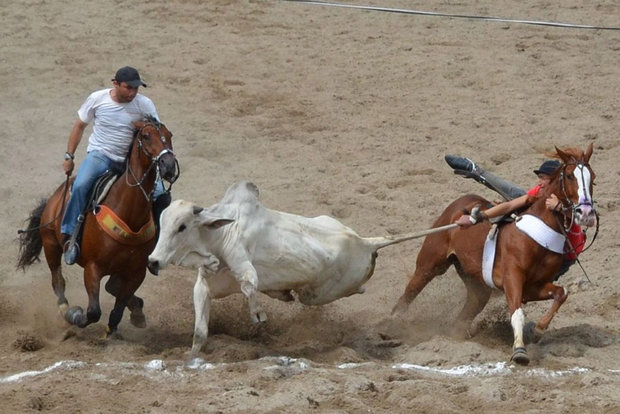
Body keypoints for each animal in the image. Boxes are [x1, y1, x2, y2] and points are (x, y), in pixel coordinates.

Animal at [17, 115, 177, 336]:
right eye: (146, 136)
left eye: (169, 135)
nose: (169, 165)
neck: (129, 214)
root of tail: (56, 195)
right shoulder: (93, 268)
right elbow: (93, 311)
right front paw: (75, 315)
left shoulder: (137, 272)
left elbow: (118, 306)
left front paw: (124, 321)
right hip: (50, 243)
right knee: (58, 280)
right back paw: (65, 309)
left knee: (112, 286)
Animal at [148, 180, 452, 356]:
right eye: (162, 222)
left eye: (182, 226)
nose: (153, 261)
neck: (222, 232)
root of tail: (365, 242)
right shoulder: (204, 286)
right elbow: (200, 332)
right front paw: (192, 358)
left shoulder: (242, 264)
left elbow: (249, 285)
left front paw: (259, 314)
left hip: (317, 295)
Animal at [392, 144, 596, 364]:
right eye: (570, 176)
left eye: (592, 177)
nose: (586, 213)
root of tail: (460, 202)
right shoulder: (512, 278)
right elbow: (517, 314)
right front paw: (520, 351)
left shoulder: (532, 286)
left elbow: (562, 293)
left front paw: (539, 330)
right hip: (430, 264)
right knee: (410, 292)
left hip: (475, 280)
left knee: (470, 306)